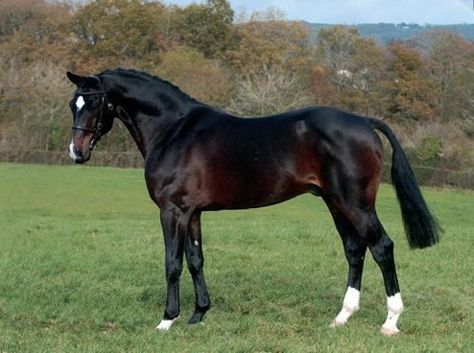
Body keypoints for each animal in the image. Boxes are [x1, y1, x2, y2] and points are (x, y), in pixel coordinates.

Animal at [65, 69, 438, 336]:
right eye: (73, 105)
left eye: (95, 103)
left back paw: (390, 322)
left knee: (382, 247)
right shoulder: (193, 213)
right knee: (355, 250)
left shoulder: (173, 211)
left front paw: (167, 320)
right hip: (336, 203)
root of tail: (364, 122)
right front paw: (199, 314)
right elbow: (196, 260)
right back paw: (342, 317)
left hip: (356, 205)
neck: (174, 130)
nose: (76, 152)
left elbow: (172, 263)